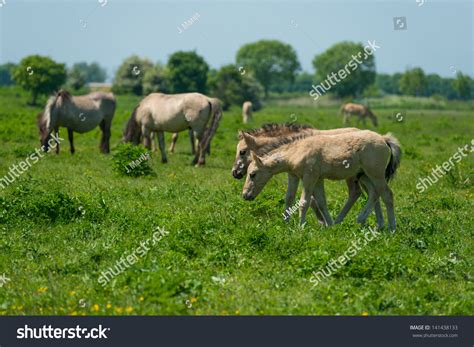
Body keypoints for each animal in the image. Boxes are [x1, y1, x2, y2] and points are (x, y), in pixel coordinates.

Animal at [241, 130, 400, 231]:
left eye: (252, 174)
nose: (245, 195)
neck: (296, 151)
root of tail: (384, 139)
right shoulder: (303, 177)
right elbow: (303, 200)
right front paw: (329, 225)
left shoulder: (309, 177)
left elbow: (304, 202)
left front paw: (301, 226)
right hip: (364, 175)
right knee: (374, 193)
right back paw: (368, 221)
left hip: (375, 174)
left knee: (387, 194)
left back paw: (391, 227)